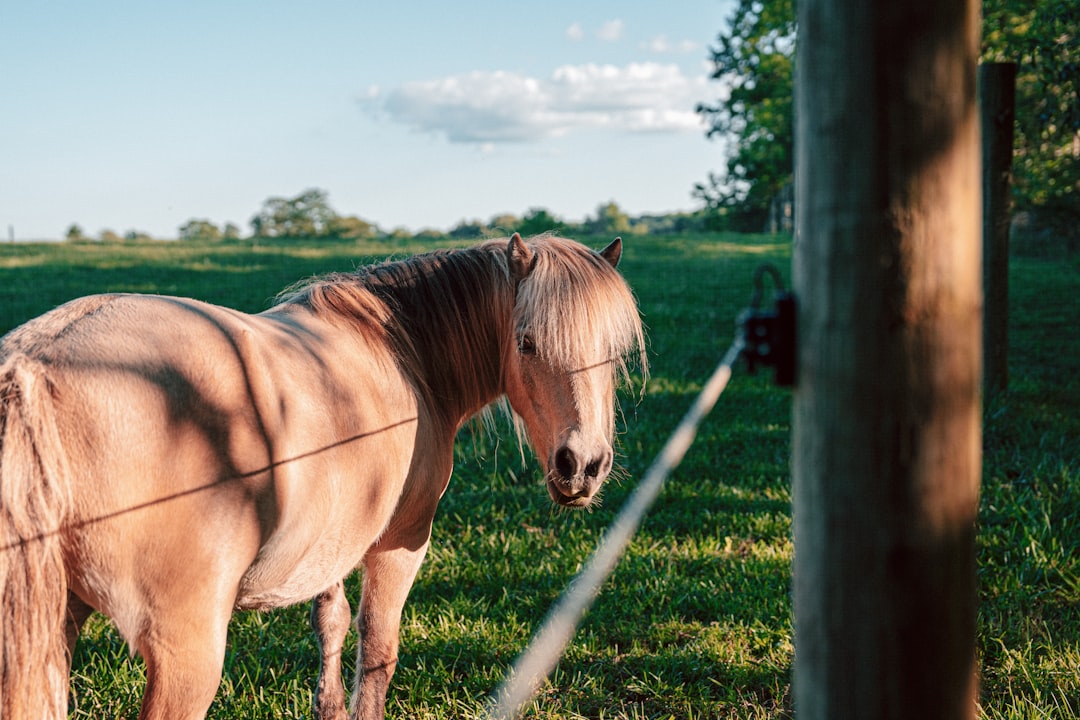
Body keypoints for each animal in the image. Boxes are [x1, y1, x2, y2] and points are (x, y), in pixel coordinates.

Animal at [0, 233, 646, 719]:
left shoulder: (332, 540)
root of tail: (32, 366)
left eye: (615, 351)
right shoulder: (400, 542)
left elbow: (330, 624)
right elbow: (377, 647)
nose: (582, 465)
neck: (402, 349)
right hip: (186, 656)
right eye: (527, 342)